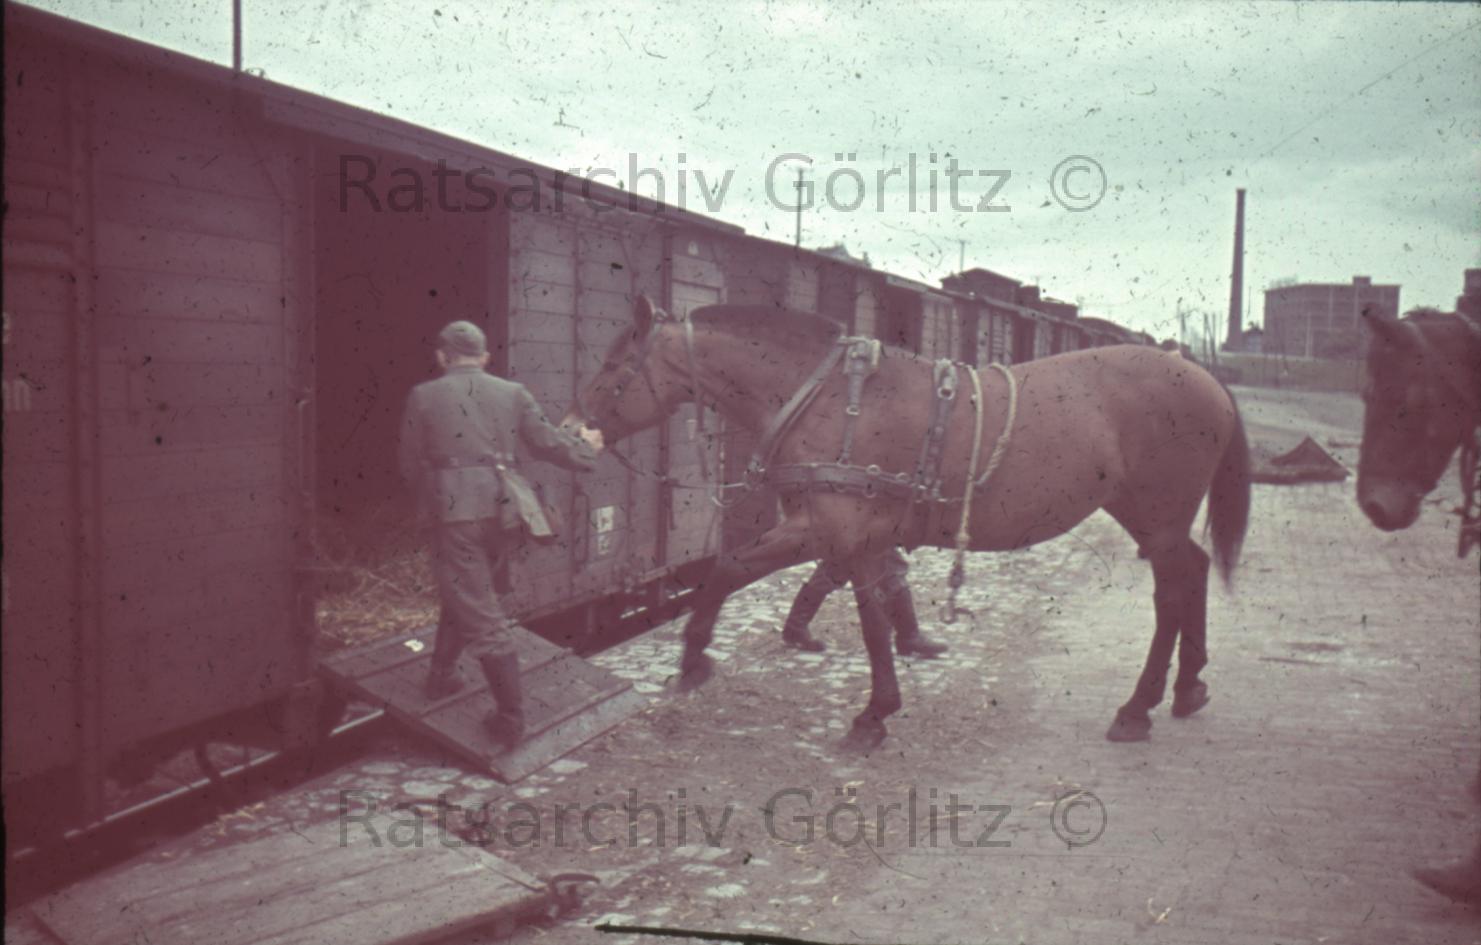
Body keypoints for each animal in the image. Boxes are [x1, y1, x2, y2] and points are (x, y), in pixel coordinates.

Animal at [567, 296, 1250, 750]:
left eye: (615, 365)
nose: (572, 429)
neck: (826, 399)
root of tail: (1205, 378)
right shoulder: (828, 531)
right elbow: (736, 568)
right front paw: (693, 659)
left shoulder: (843, 534)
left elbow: (866, 621)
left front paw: (873, 714)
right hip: (1149, 518)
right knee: (1192, 574)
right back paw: (1188, 688)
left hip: (1155, 517)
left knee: (1172, 590)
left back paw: (1139, 706)